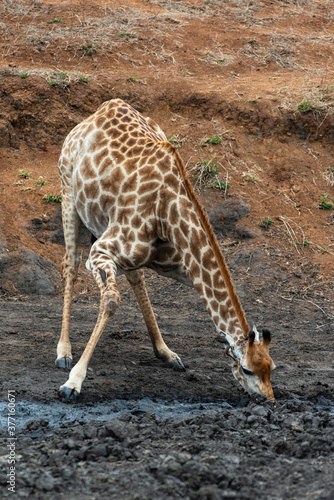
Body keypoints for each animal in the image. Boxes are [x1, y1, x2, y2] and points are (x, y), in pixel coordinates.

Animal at [56, 97, 276, 402]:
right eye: (247, 369)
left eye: (271, 368)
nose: (270, 400)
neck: (167, 211)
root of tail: (95, 114)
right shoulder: (100, 251)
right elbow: (111, 300)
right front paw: (73, 382)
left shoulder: (178, 263)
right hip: (68, 194)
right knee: (70, 263)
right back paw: (63, 352)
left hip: (102, 221)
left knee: (135, 275)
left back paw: (165, 352)